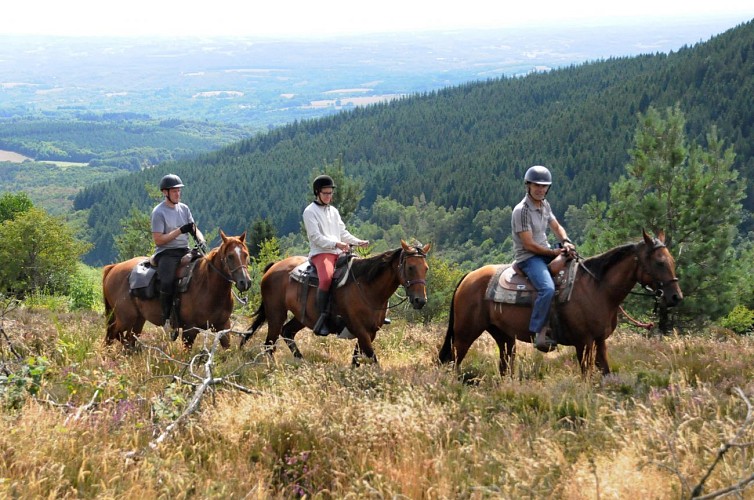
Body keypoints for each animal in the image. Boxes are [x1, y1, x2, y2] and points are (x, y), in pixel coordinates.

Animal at [100, 229, 250, 350]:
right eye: (230, 256)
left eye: (245, 254)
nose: (245, 282)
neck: (208, 287)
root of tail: (114, 267)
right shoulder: (190, 330)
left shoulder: (223, 327)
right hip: (125, 318)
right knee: (112, 333)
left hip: (138, 319)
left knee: (128, 339)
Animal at [241, 240, 428, 366]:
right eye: (410, 267)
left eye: (426, 268)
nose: (420, 300)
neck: (366, 287)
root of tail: (273, 267)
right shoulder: (360, 330)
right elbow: (373, 359)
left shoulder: (370, 332)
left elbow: (356, 359)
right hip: (276, 314)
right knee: (269, 344)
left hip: (302, 318)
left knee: (287, 332)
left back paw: (303, 363)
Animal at [440, 230, 680, 376]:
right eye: (659, 262)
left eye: (672, 261)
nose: (676, 296)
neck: (597, 288)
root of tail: (468, 276)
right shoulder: (584, 342)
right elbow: (587, 376)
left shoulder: (599, 341)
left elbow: (606, 373)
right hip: (464, 334)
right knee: (453, 361)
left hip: (504, 337)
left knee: (505, 365)